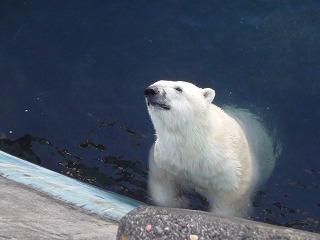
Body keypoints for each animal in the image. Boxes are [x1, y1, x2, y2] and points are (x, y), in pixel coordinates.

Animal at [144, 79, 276, 217]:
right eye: (156, 83)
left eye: (178, 88)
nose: (150, 91)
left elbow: (230, 205)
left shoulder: (229, 176)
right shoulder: (168, 161)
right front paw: (180, 202)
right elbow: (161, 183)